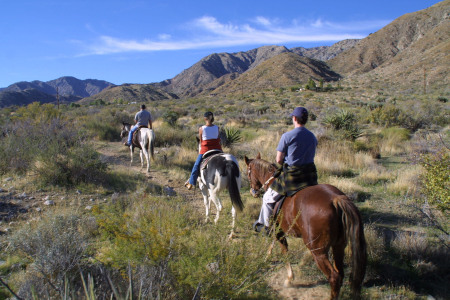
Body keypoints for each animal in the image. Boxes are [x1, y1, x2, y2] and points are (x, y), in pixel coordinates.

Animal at [244, 154, 368, 298]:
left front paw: (289, 279)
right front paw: (267, 255)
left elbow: (285, 251)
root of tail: (336, 199)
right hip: (339, 246)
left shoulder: (280, 231)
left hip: (318, 251)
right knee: (340, 273)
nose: (253, 191)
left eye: (248, 172)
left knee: (334, 277)